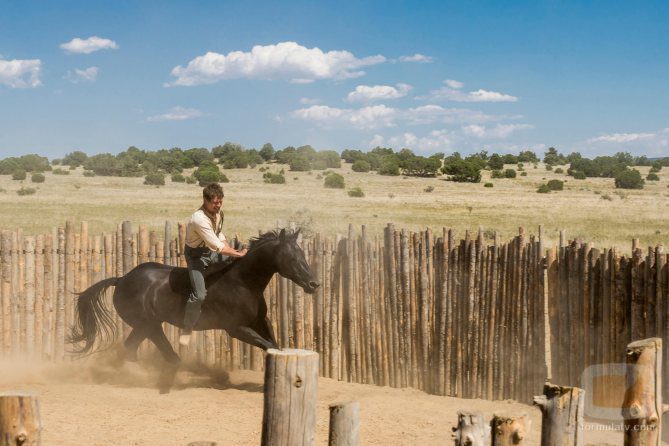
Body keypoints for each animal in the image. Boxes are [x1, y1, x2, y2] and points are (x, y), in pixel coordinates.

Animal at [68, 228, 320, 392]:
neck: (242, 282)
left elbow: (275, 345)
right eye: (292, 257)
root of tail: (121, 280)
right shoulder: (236, 329)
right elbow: (269, 346)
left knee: (132, 349)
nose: (314, 284)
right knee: (156, 353)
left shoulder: (260, 322)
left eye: (302, 254)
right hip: (148, 325)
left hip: (146, 327)